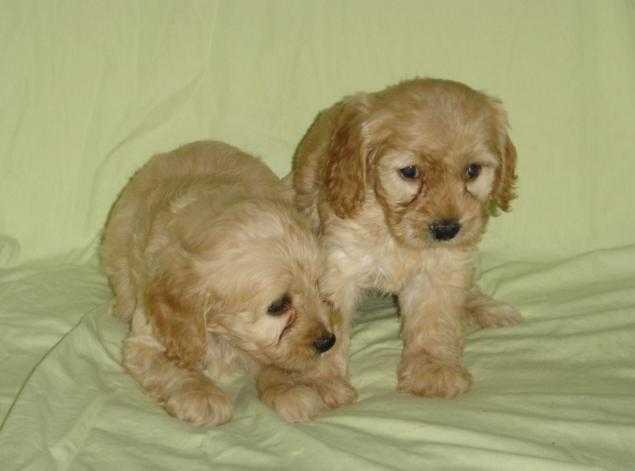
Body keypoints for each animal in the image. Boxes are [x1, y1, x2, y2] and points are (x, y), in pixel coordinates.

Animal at [102, 140, 356, 424]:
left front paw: (292, 388)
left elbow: (275, 362)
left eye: (318, 286)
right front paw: (201, 395)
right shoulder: (145, 343)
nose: (327, 341)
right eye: (278, 306)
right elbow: (171, 367)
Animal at [290, 77, 524, 398]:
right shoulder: (338, 267)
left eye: (473, 170)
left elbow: (434, 319)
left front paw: (433, 369)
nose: (446, 230)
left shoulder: (443, 266)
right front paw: (322, 382)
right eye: (410, 172)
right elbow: (327, 330)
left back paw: (485, 307)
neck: (391, 228)